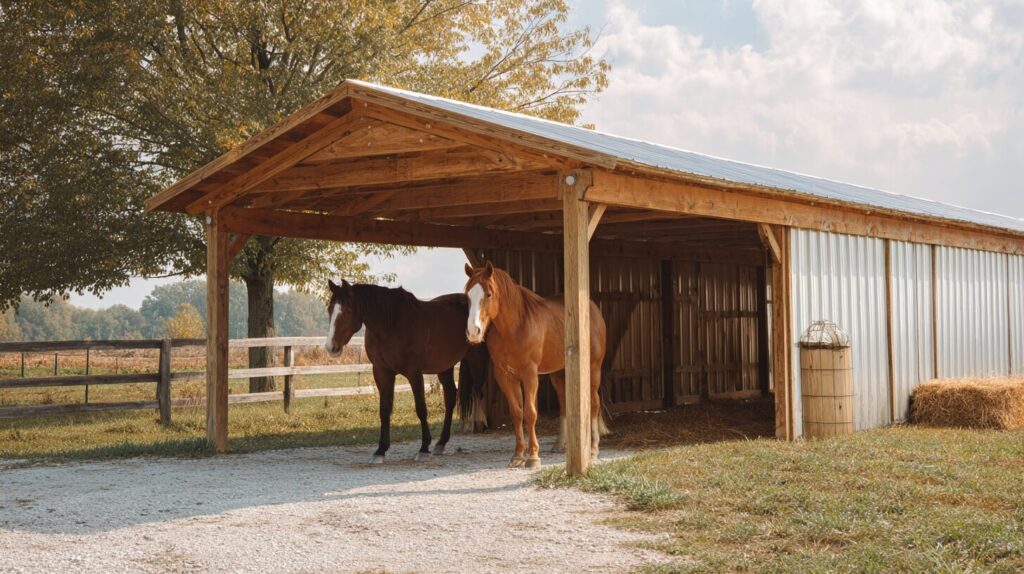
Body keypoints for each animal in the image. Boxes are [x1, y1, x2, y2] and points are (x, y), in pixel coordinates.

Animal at [325, 279, 471, 463]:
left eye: (348, 310)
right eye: (330, 309)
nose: (331, 347)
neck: (391, 325)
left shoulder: (414, 373)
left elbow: (421, 408)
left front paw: (424, 448)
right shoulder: (381, 372)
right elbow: (384, 410)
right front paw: (380, 450)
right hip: (445, 366)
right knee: (450, 397)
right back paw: (441, 443)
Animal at [463, 261, 608, 468]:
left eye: (489, 294)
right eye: (467, 295)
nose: (473, 332)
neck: (514, 327)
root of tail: (593, 309)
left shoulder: (529, 374)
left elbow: (530, 413)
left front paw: (533, 457)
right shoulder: (506, 376)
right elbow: (517, 413)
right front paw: (517, 455)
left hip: (593, 369)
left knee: (594, 404)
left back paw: (594, 449)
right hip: (559, 374)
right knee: (564, 405)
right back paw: (560, 445)